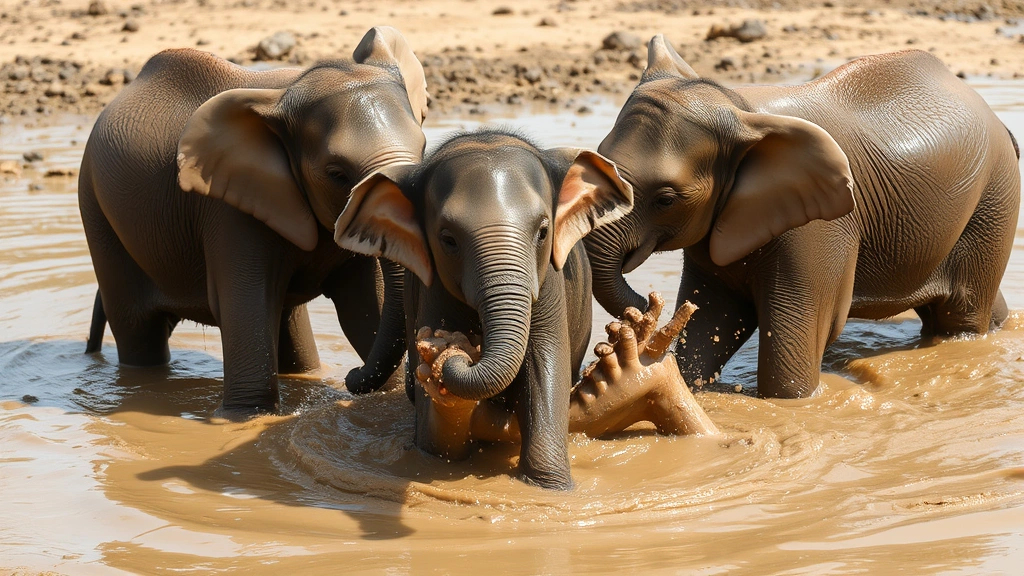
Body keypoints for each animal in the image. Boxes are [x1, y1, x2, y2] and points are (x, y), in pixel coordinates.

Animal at [78, 26, 429, 418]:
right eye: (337, 174)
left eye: (424, 149)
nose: (351, 376)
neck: (287, 92)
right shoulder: (228, 210)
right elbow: (248, 306)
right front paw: (247, 417)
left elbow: (366, 302)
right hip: (96, 209)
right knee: (137, 330)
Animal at [334, 130, 635, 489]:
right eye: (448, 240)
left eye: (543, 232)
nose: (459, 350)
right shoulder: (432, 289)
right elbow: (436, 445)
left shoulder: (549, 283)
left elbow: (546, 363)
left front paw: (550, 486)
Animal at [584, 37, 1021, 399]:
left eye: (665, 199)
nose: (643, 305)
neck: (737, 105)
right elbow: (710, 317)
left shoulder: (818, 228)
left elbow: (793, 347)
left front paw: (792, 402)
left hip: (994, 195)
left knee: (959, 314)